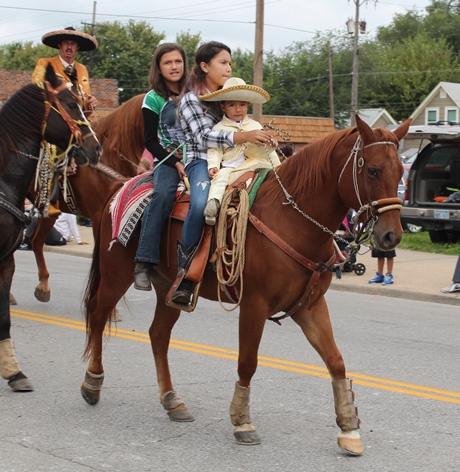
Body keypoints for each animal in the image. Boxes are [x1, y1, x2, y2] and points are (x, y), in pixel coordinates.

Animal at [0, 65, 102, 390]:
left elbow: (3, 318)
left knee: (35, 242)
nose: (95, 148)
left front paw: (14, 372)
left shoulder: (5, 260)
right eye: (70, 103)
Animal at [81, 117, 412, 454]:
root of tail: (118, 188)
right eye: (372, 170)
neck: (290, 219)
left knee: (158, 335)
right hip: (115, 275)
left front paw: (349, 429)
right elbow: (247, 362)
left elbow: (336, 361)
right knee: (97, 315)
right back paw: (92, 382)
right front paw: (242, 422)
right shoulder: (254, 305)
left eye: (401, 170)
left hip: (170, 290)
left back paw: (173, 401)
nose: (391, 236)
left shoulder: (310, 306)